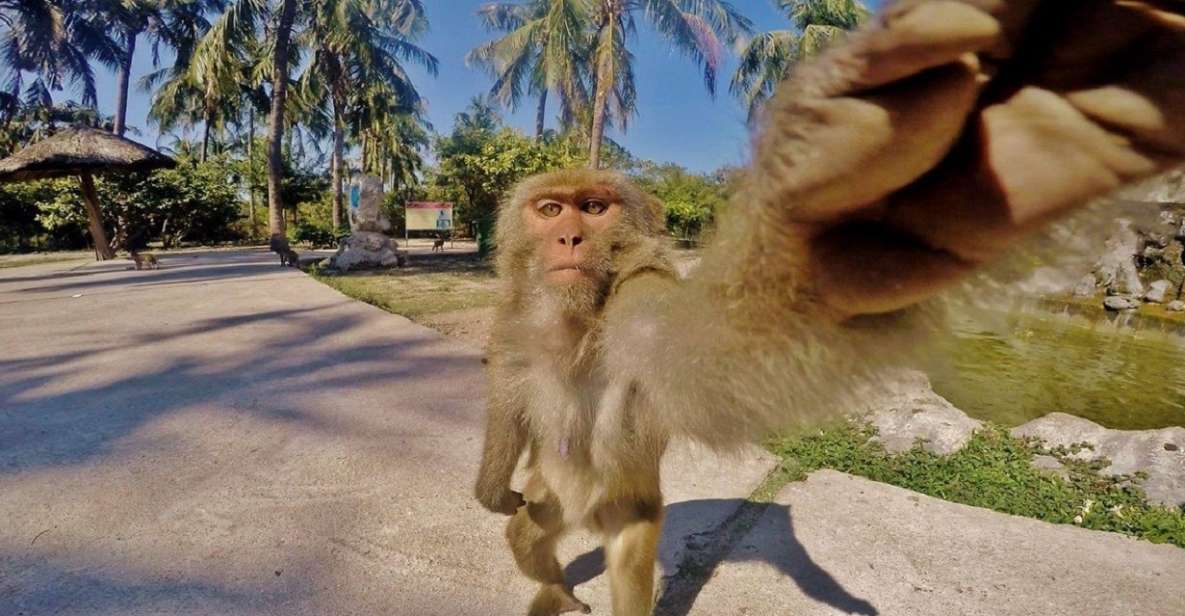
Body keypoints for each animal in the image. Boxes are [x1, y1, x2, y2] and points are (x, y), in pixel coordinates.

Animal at [473, 2, 1185, 615]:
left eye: (594, 208)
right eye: (551, 209)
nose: (568, 239)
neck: (575, 314)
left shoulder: (638, 303)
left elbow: (707, 361)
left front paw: (822, 242)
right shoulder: (514, 317)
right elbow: (508, 395)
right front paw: (492, 486)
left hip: (627, 507)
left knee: (618, 554)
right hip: (555, 501)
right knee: (528, 535)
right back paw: (555, 588)